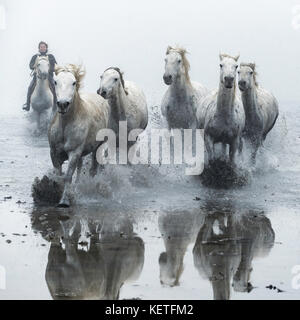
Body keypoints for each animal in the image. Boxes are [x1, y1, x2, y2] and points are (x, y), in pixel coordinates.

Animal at [48, 63, 109, 208]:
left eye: (74, 82)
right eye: (56, 82)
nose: (63, 104)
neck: (65, 127)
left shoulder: (74, 152)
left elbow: (67, 176)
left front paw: (64, 201)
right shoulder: (54, 152)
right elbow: (58, 175)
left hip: (98, 147)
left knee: (93, 169)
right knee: (80, 168)